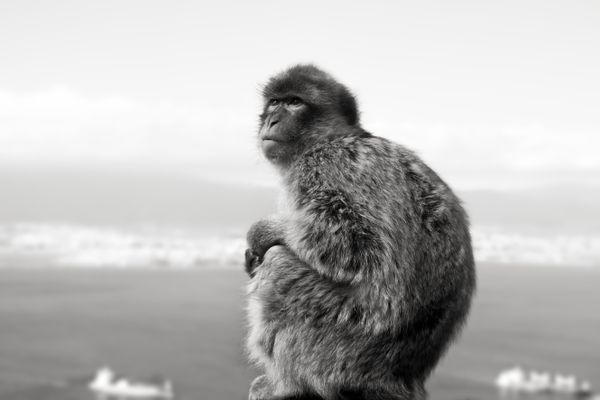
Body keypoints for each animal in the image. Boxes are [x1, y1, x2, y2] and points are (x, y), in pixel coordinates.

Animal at [243, 65, 474, 400]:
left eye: (295, 102)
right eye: (274, 101)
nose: (272, 119)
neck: (330, 138)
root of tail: (398, 378)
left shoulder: (326, 165)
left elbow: (355, 245)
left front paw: (264, 232)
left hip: (342, 338)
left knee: (278, 267)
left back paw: (285, 384)